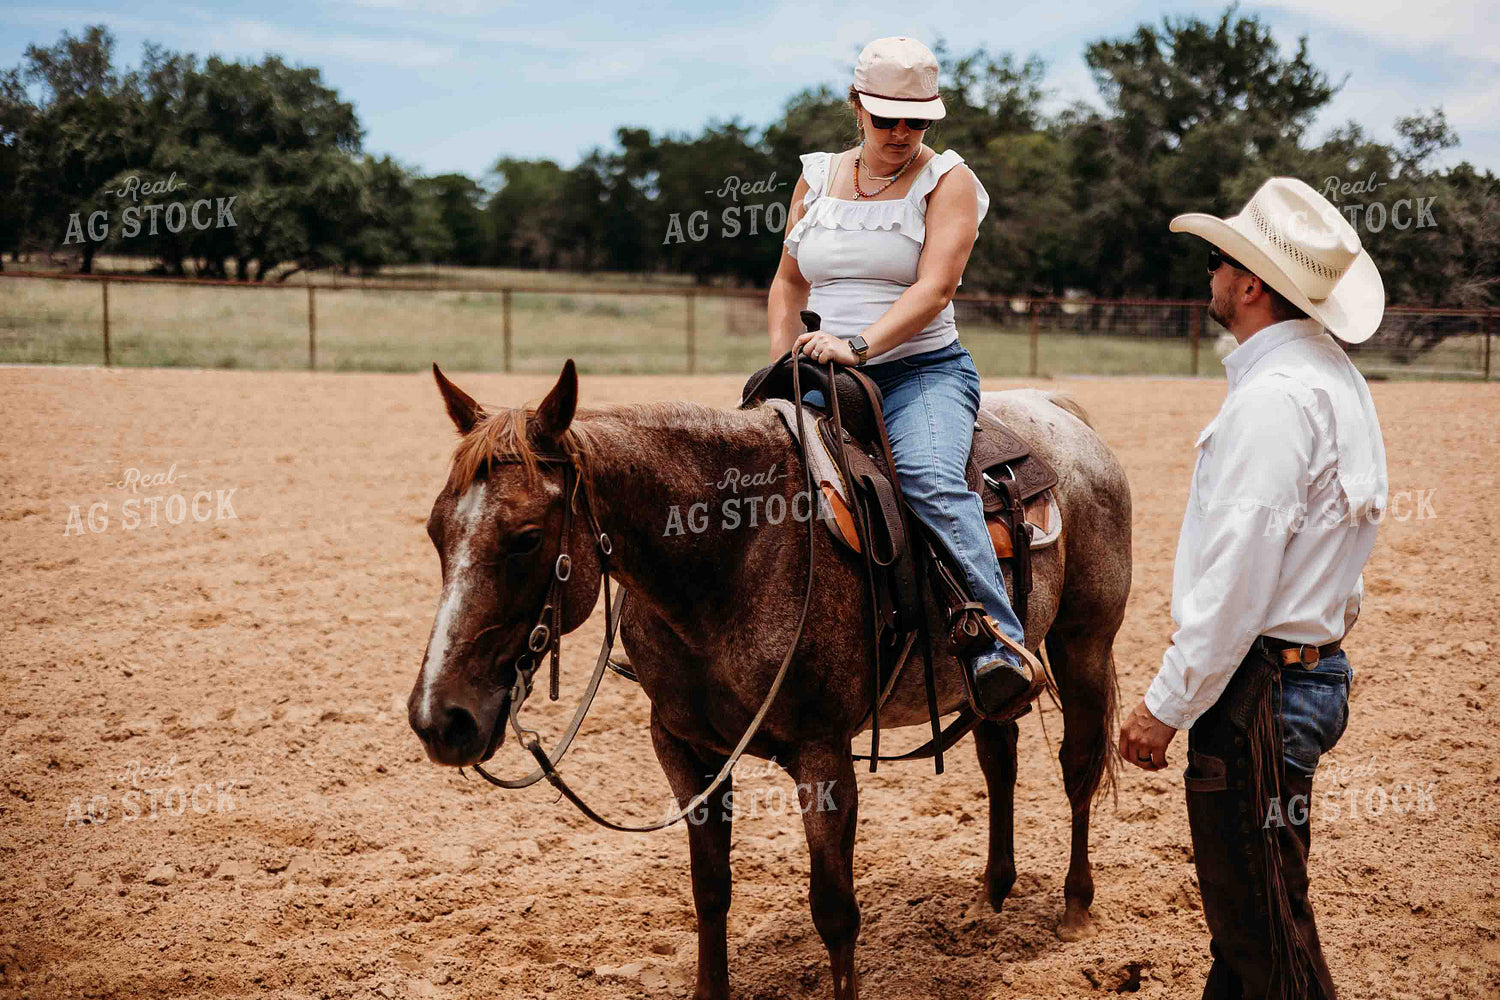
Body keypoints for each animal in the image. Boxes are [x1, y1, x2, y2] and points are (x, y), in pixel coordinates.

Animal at [408, 360, 1132, 1000]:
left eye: (527, 537)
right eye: (436, 530)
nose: (440, 719)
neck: (732, 555)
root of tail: (1059, 412)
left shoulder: (822, 753)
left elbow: (835, 911)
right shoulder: (683, 748)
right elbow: (710, 890)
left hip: (1082, 642)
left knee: (1078, 764)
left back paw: (1075, 908)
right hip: (992, 677)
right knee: (998, 756)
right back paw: (991, 895)